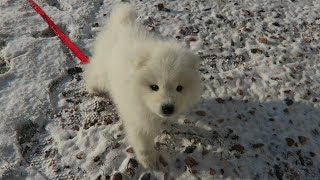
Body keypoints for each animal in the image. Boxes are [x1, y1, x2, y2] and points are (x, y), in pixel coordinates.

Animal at [84, 3, 201, 169]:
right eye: (154, 87)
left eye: (179, 88)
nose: (167, 108)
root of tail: (123, 22)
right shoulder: (137, 119)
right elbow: (143, 142)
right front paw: (148, 161)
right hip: (102, 69)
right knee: (92, 72)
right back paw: (92, 88)